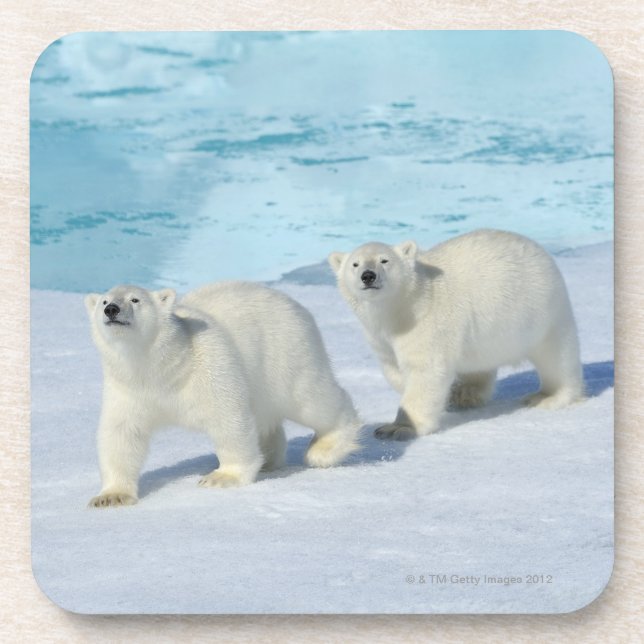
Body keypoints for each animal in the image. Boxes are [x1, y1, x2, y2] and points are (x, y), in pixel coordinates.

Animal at [85, 281, 362, 507]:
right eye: (104, 301)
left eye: (135, 299)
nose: (112, 310)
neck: (162, 368)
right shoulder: (128, 388)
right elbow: (121, 433)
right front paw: (111, 496)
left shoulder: (208, 365)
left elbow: (228, 417)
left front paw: (221, 477)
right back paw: (269, 460)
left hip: (286, 353)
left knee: (311, 398)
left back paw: (326, 449)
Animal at [329, 229, 585, 440]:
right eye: (355, 264)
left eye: (385, 260)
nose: (368, 275)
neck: (400, 309)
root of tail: (539, 249)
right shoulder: (381, 337)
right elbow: (393, 369)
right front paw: (447, 397)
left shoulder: (425, 323)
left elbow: (426, 371)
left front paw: (398, 428)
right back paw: (465, 394)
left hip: (543, 310)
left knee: (556, 356)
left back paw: (549, 396)